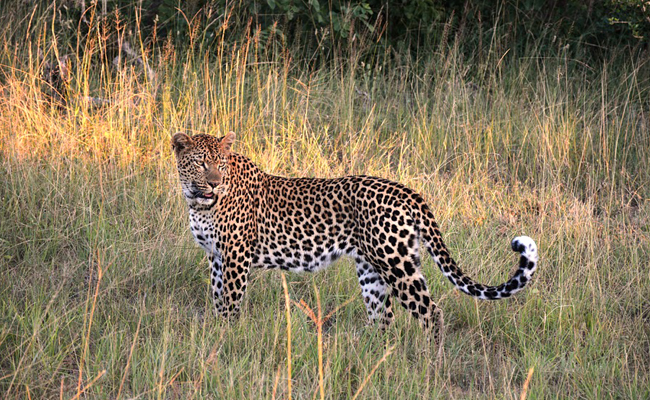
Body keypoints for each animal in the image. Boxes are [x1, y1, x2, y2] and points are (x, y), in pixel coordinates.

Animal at [171, 131, 539, 347]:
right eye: (202, 163)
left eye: (220, 164)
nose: (215, 183)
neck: (197, 201)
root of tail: (409, 192)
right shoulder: (216, 257)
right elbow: (217, 298)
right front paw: (216, 331)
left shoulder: (235, 257)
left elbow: (230, 303)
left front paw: (225, 338)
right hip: (372, 269)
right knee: (383, 318)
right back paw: (376, 358)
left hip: (396, 264)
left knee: (431, 312)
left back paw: (431, 363)